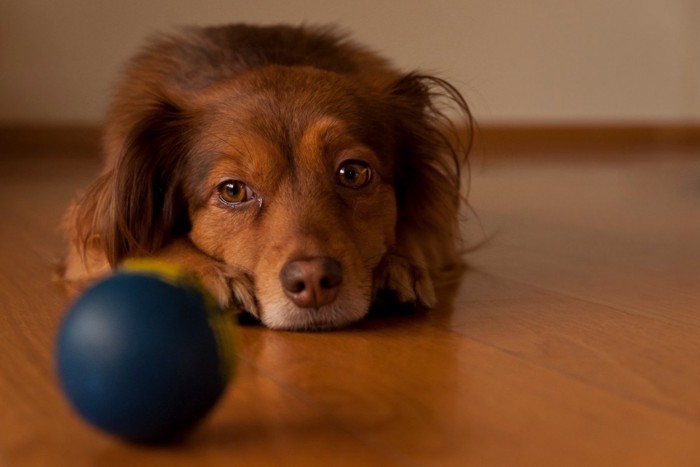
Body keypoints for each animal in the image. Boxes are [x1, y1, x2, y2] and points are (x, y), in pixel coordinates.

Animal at [61, 22, 476, 330]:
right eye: (232, 190)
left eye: (353, 173)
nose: (314, 281)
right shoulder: (90, 238)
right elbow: (137, 245)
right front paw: (206, 275)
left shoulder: (442, 233)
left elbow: (416, 230)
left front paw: (396, 265)